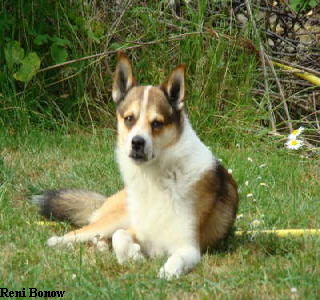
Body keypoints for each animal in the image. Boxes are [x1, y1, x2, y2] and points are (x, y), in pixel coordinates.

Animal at [33, 51, 238, 278]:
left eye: (156, 123)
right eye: (129, 118)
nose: (137, 142)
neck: (156, 177)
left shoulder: (189, 247)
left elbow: (175, 259)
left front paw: (166, 271)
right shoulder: (136, 230)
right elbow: (120, 237)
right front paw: (132, 256)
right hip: (112, 220)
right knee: (85, 233)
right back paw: (60, 241)